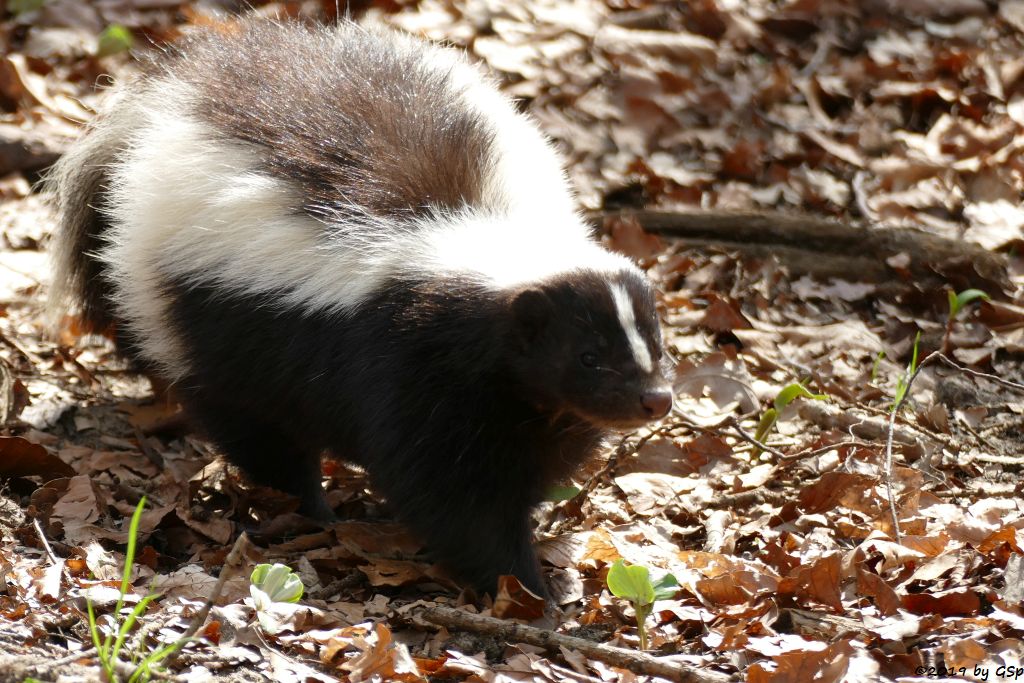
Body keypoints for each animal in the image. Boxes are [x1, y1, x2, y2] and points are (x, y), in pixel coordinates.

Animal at [48, 20, 675, 598]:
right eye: (587, 355)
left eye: (656, 343)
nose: (654, 399)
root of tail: (187, 84)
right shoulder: (411, 365)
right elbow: (455, 493)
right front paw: (521, 586)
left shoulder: (527, 403)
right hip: (207, 326)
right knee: (255, 427)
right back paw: (311, 506)